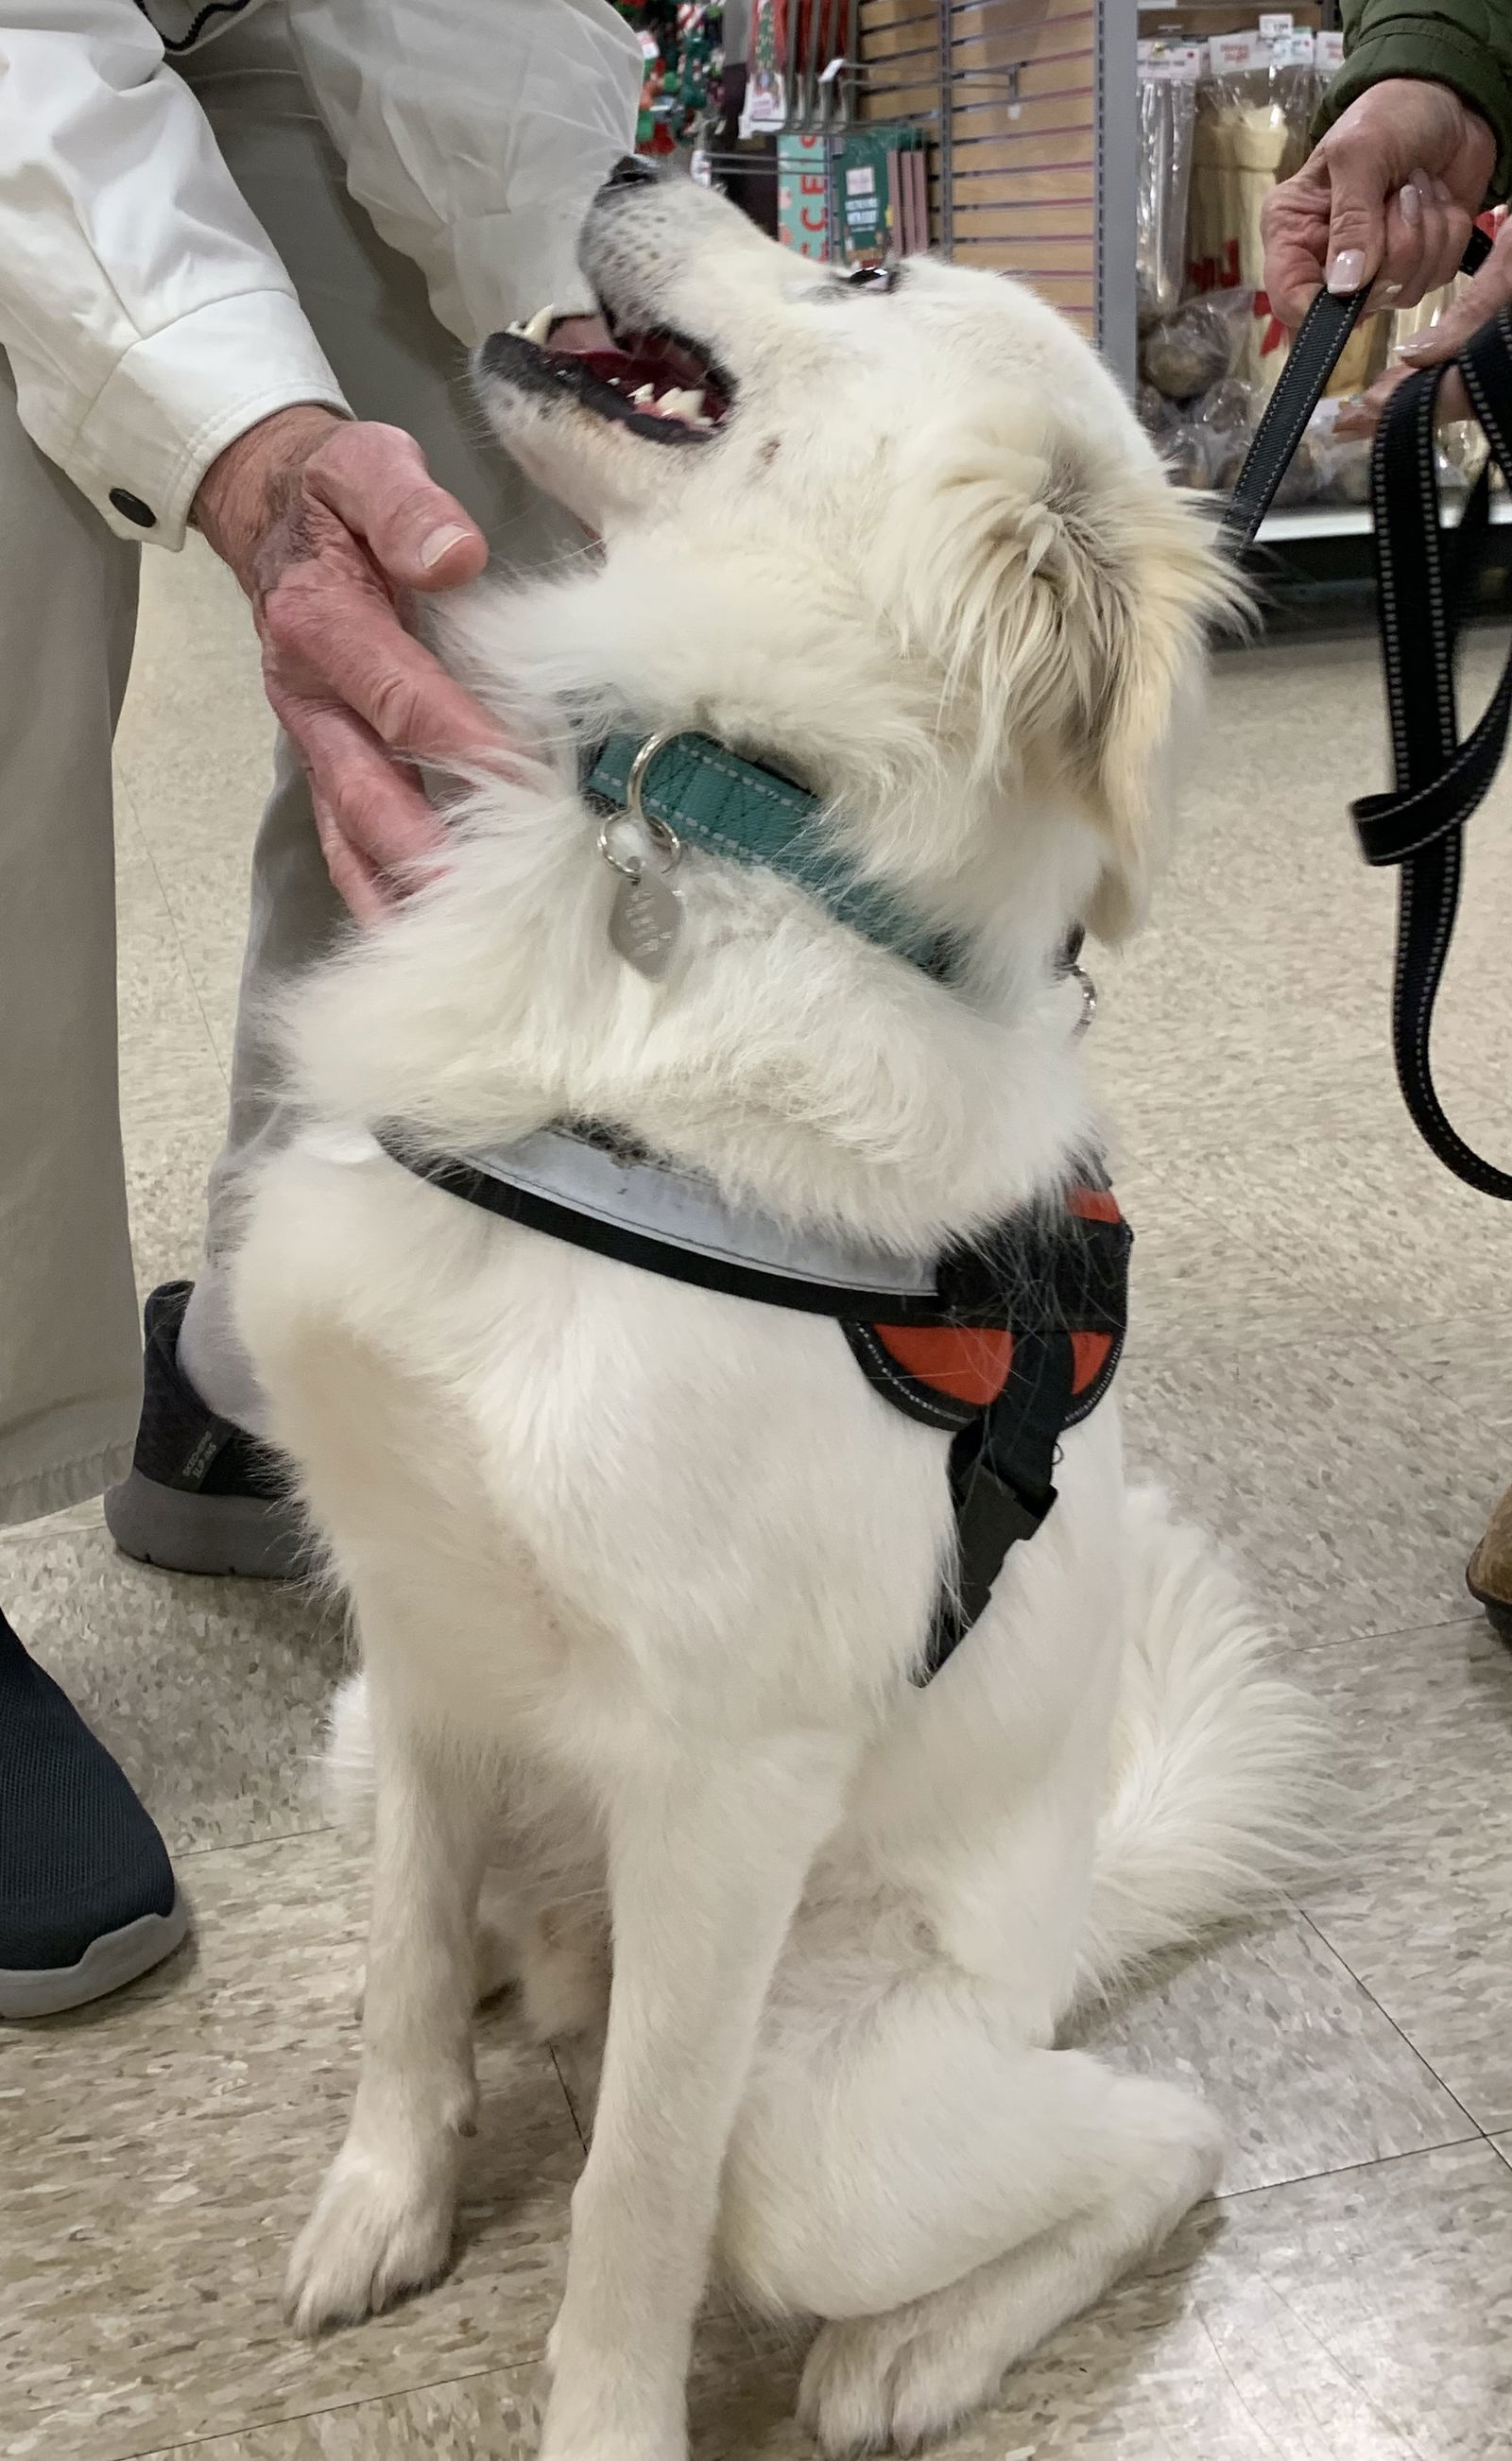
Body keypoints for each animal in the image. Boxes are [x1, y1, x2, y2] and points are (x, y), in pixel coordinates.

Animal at [233, 173, 1319, 2461]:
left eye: (867, 266)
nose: (644, 160)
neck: (733, 832)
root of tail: (1070, 1929)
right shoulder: (419, 1633)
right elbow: (395, 1984)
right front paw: (384, 2201)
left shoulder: (722, 1792)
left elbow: (631, 2210)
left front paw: (601, 2420)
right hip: (362, 1743)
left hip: (832, 2117)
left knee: (1155, 2133)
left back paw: (907, 2357)